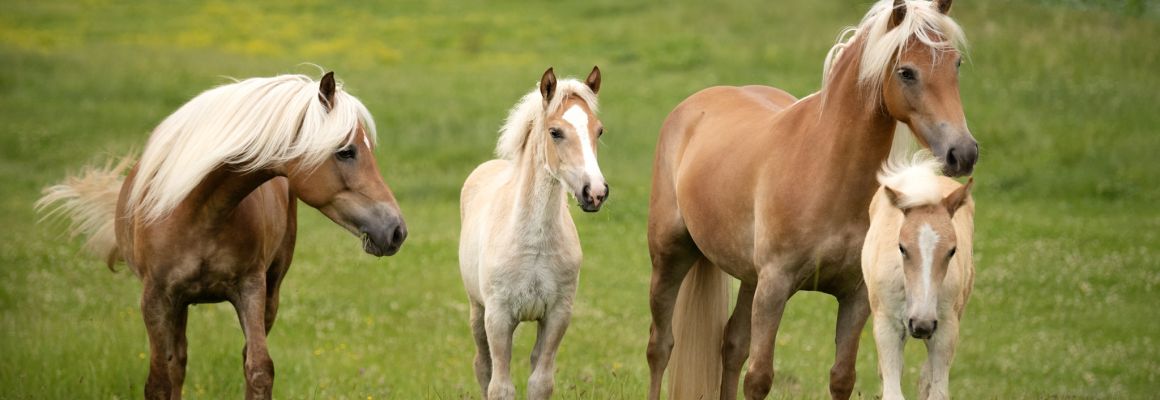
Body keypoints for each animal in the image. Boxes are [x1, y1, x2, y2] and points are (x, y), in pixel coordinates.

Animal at [35, 72, 408, 398]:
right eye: (346, 151)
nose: (396, 230)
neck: (197, 210)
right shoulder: (155, 298)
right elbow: (160, 381)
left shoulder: (251, 289)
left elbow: (259, 369)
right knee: (177, 364)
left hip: (270, 291)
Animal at [459, 66, 612, 398]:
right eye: (555, 132)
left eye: (599, 130)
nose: (595, 193)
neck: (534, 245)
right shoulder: (498, 316)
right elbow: (500, 386)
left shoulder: (557, 314)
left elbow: (540, 381)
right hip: (477, 309)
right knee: (482, 366)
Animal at [867, 150, 974, 396]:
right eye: (901, 247)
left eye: (952, 250)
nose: (921, 324)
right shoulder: (886, 325)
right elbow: (892, 391)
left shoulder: (945, 327)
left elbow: (937, 390)